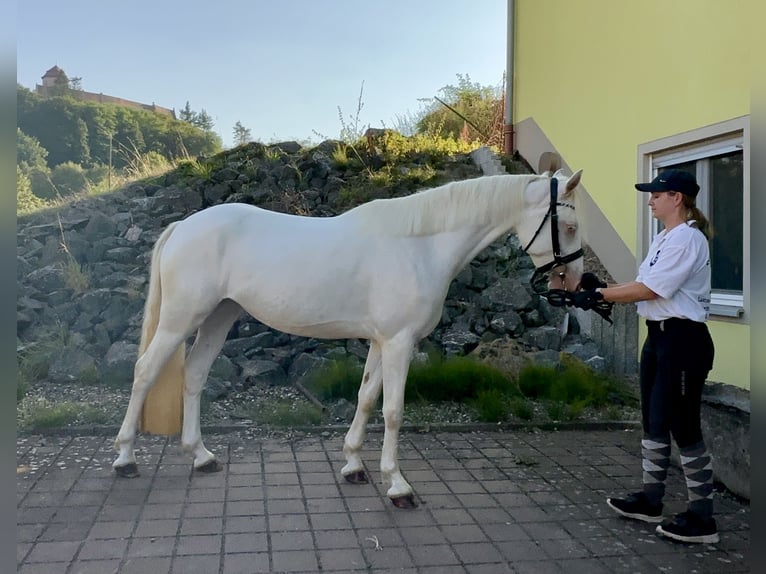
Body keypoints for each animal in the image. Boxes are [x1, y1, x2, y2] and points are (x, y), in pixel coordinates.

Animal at [112, 170, 584, 508]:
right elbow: (393, 411)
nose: (574, 283)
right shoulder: (399, 342)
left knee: (194, 375)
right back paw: (125, 459)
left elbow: (366, 398)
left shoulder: (381, 341)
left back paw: (202, 456)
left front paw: (354, 464)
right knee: (145, 371)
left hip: (218, 316)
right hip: (181, 318)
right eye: (570, 225)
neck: (420, 247)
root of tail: (182, 226)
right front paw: (397, 485)